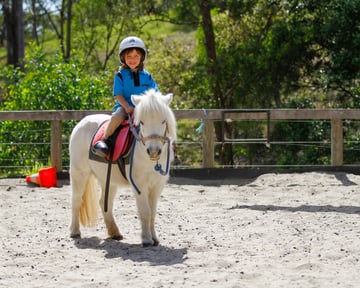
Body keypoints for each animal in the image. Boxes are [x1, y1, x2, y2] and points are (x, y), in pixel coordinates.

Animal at [68, 89, 176, 246]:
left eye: (163, 121)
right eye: (142, 122)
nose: (154, 151)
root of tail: (82, 122)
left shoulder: (157, 186)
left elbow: (153, 212)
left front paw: (155, 238)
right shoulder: (139, 185)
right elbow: (145, 212)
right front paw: (146, 239)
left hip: (108, 180)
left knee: (104, 203)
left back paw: (115, 233)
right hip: (79, 173)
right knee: (76, 200)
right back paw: (75, 231)